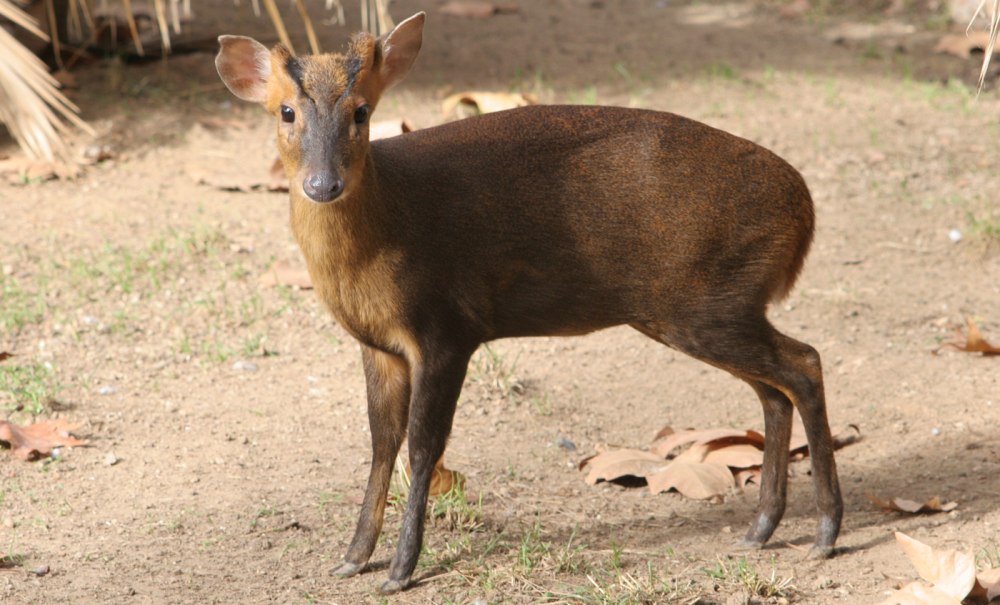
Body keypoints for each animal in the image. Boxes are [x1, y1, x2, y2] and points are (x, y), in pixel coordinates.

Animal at [215, 12, 843, 594]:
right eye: (286, 113)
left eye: (362, 112)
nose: (323, 185)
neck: (384, 230)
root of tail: (805, 209)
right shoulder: (379, 345)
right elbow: (379, 443)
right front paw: (352, 558)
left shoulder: (446, 329)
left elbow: (423, 447)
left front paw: (400, 570)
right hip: (711, 306)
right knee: (775, 390)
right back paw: (761, 529)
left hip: (707, 300)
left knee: (804, 364)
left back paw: (825, 533)